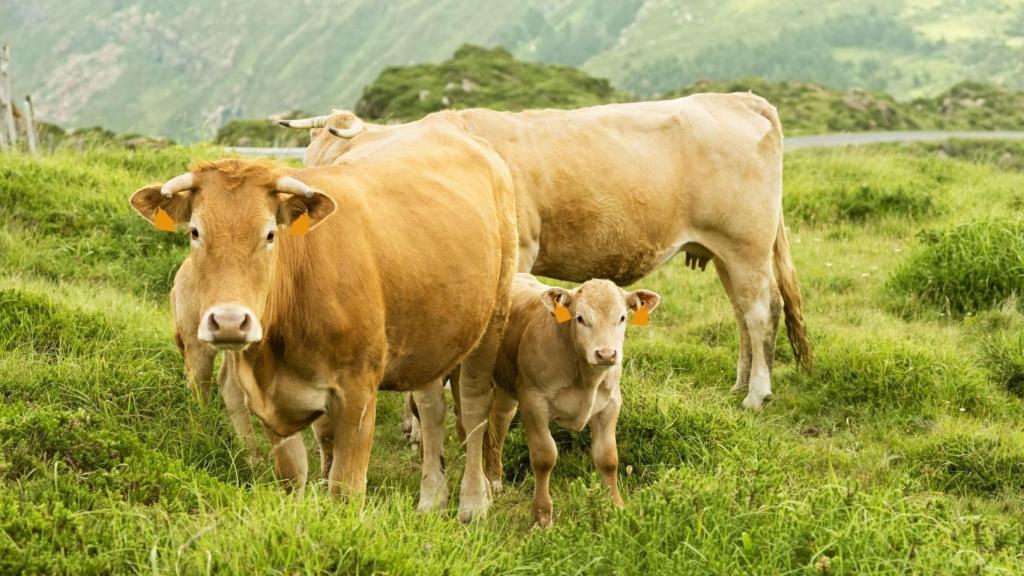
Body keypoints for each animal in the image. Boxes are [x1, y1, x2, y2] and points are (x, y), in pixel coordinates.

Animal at [130, 111, 518, 514]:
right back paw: (431, 498)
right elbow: (292, 476)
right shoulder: (269, 402)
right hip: (432, 332)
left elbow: (345, 486)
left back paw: (473, 502)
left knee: (473, 409)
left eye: (270, 234)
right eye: (195, 232)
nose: (229, 322)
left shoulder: (357, 391)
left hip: (492, 318)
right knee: (430, 409)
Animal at [485, 274, 660, 527]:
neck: (586, 379)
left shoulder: (610, 405)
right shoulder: (533, 402)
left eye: (622, 317)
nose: (606, 354)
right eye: (580, 318)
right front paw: (542, 516)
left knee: (499, 419)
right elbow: (545, 457)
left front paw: (616, 506)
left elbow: (608, 458)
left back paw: (495, 476)